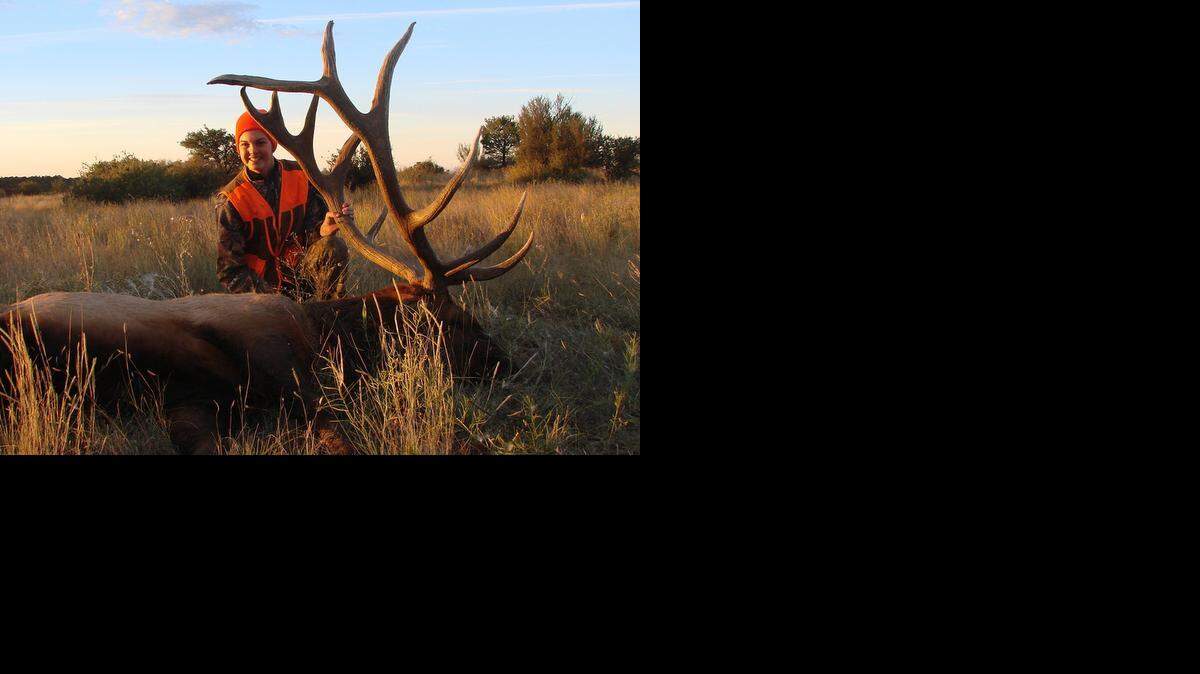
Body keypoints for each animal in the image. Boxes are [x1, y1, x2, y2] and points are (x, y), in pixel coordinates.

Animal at [0, 21, 533, 455]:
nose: (508, 362)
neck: (330, 338)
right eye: (455, 320)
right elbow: (338, 436)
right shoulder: (284, 374)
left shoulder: (190, 404)